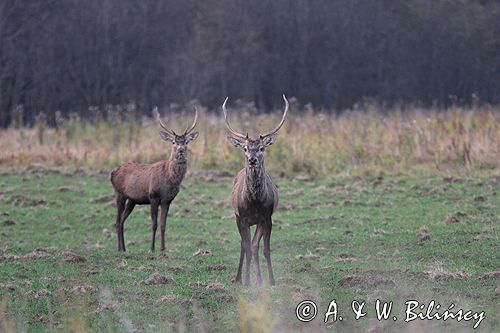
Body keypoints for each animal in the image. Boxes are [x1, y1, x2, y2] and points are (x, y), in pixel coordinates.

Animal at [110, 107, 198, 250]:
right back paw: (119, 248)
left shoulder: (167, 200)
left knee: (122, 220)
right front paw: (152, 249)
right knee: (117, 221)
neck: (170, 180)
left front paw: (163, 249)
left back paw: (124, 249)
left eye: (186, 142)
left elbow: (163, 225)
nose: (180, 150)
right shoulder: (153, 196)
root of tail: (112, 172)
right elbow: (154, 224)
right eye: (173, 142)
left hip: (132, 200)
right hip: (119, 193)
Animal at [224, 94, 290, 286]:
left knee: (253, 245)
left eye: (262, 148)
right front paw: (247, 281)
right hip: (237, 217)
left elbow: (262, 248)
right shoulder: (242, 217)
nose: (252, 160)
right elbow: (247, 246)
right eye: (245, 148)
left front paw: (268, 280)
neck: (254, 203)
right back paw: (239, 277)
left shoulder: (266, 217)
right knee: (243, 244)